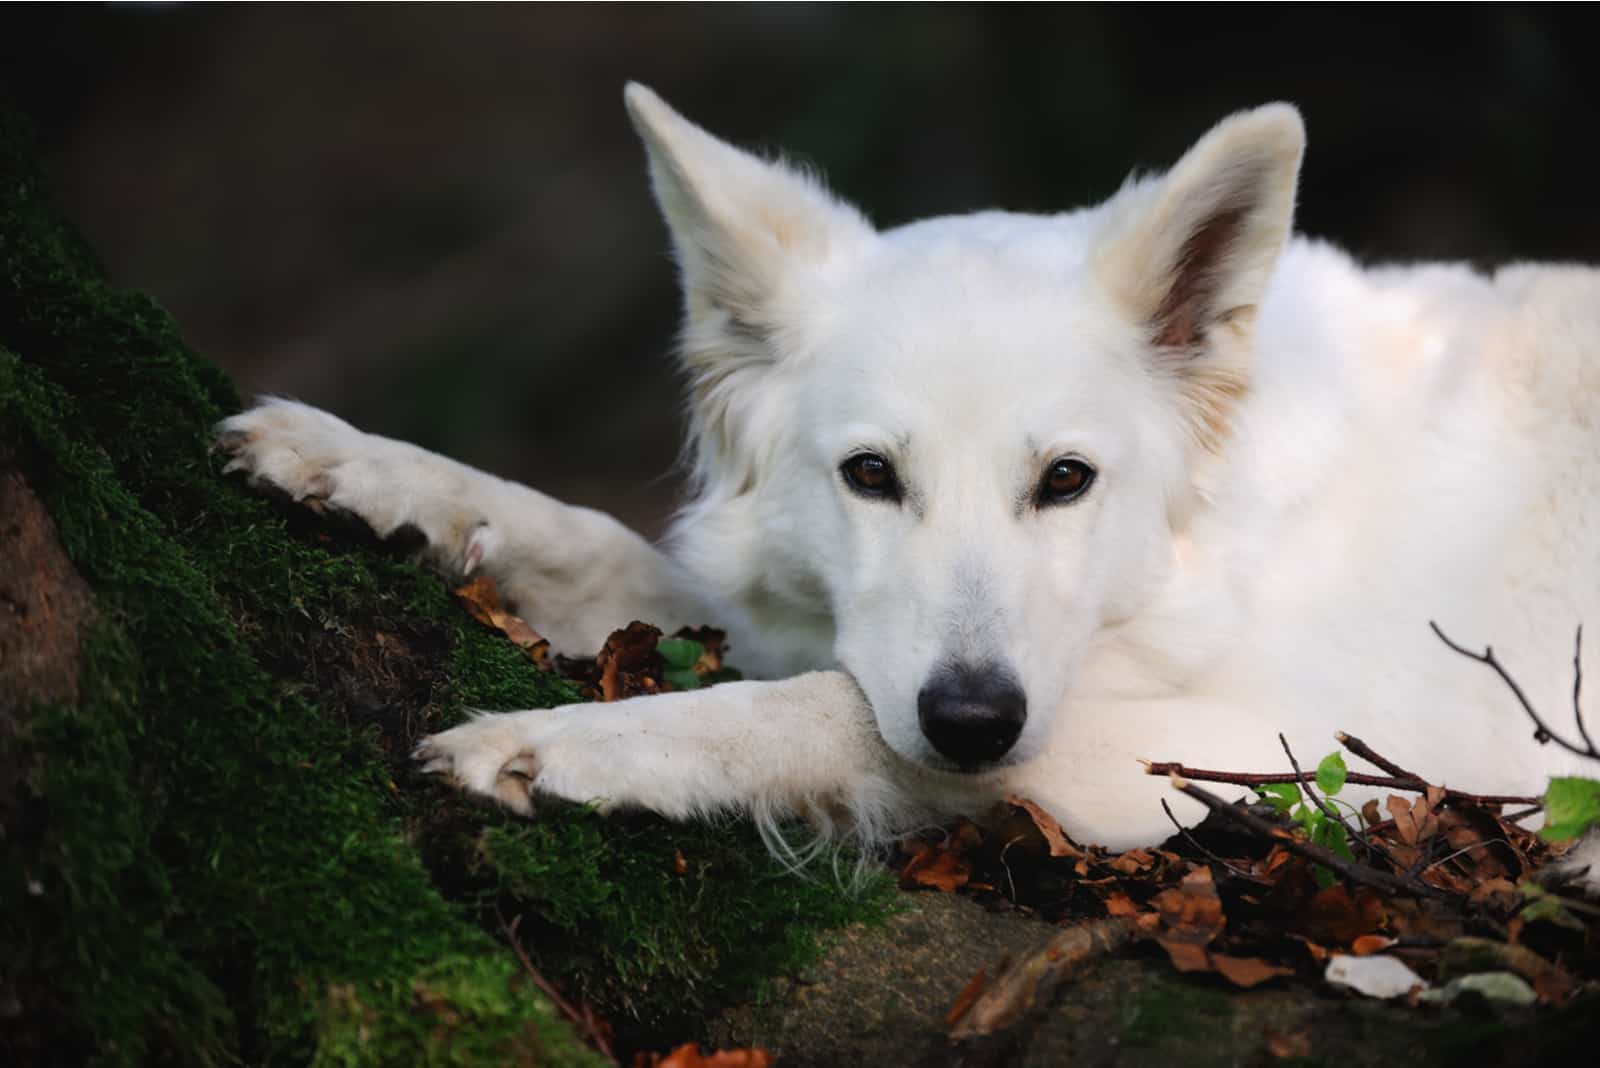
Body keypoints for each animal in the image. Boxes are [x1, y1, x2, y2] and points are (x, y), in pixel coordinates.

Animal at [219, 83, 1600, 882]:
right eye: (871, 475)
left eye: (1065, 480)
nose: (973, 719)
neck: (1201, 560)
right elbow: (597, 544)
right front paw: (369, 467)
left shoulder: (1291, 758)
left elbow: (808, 710)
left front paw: (564, 744)